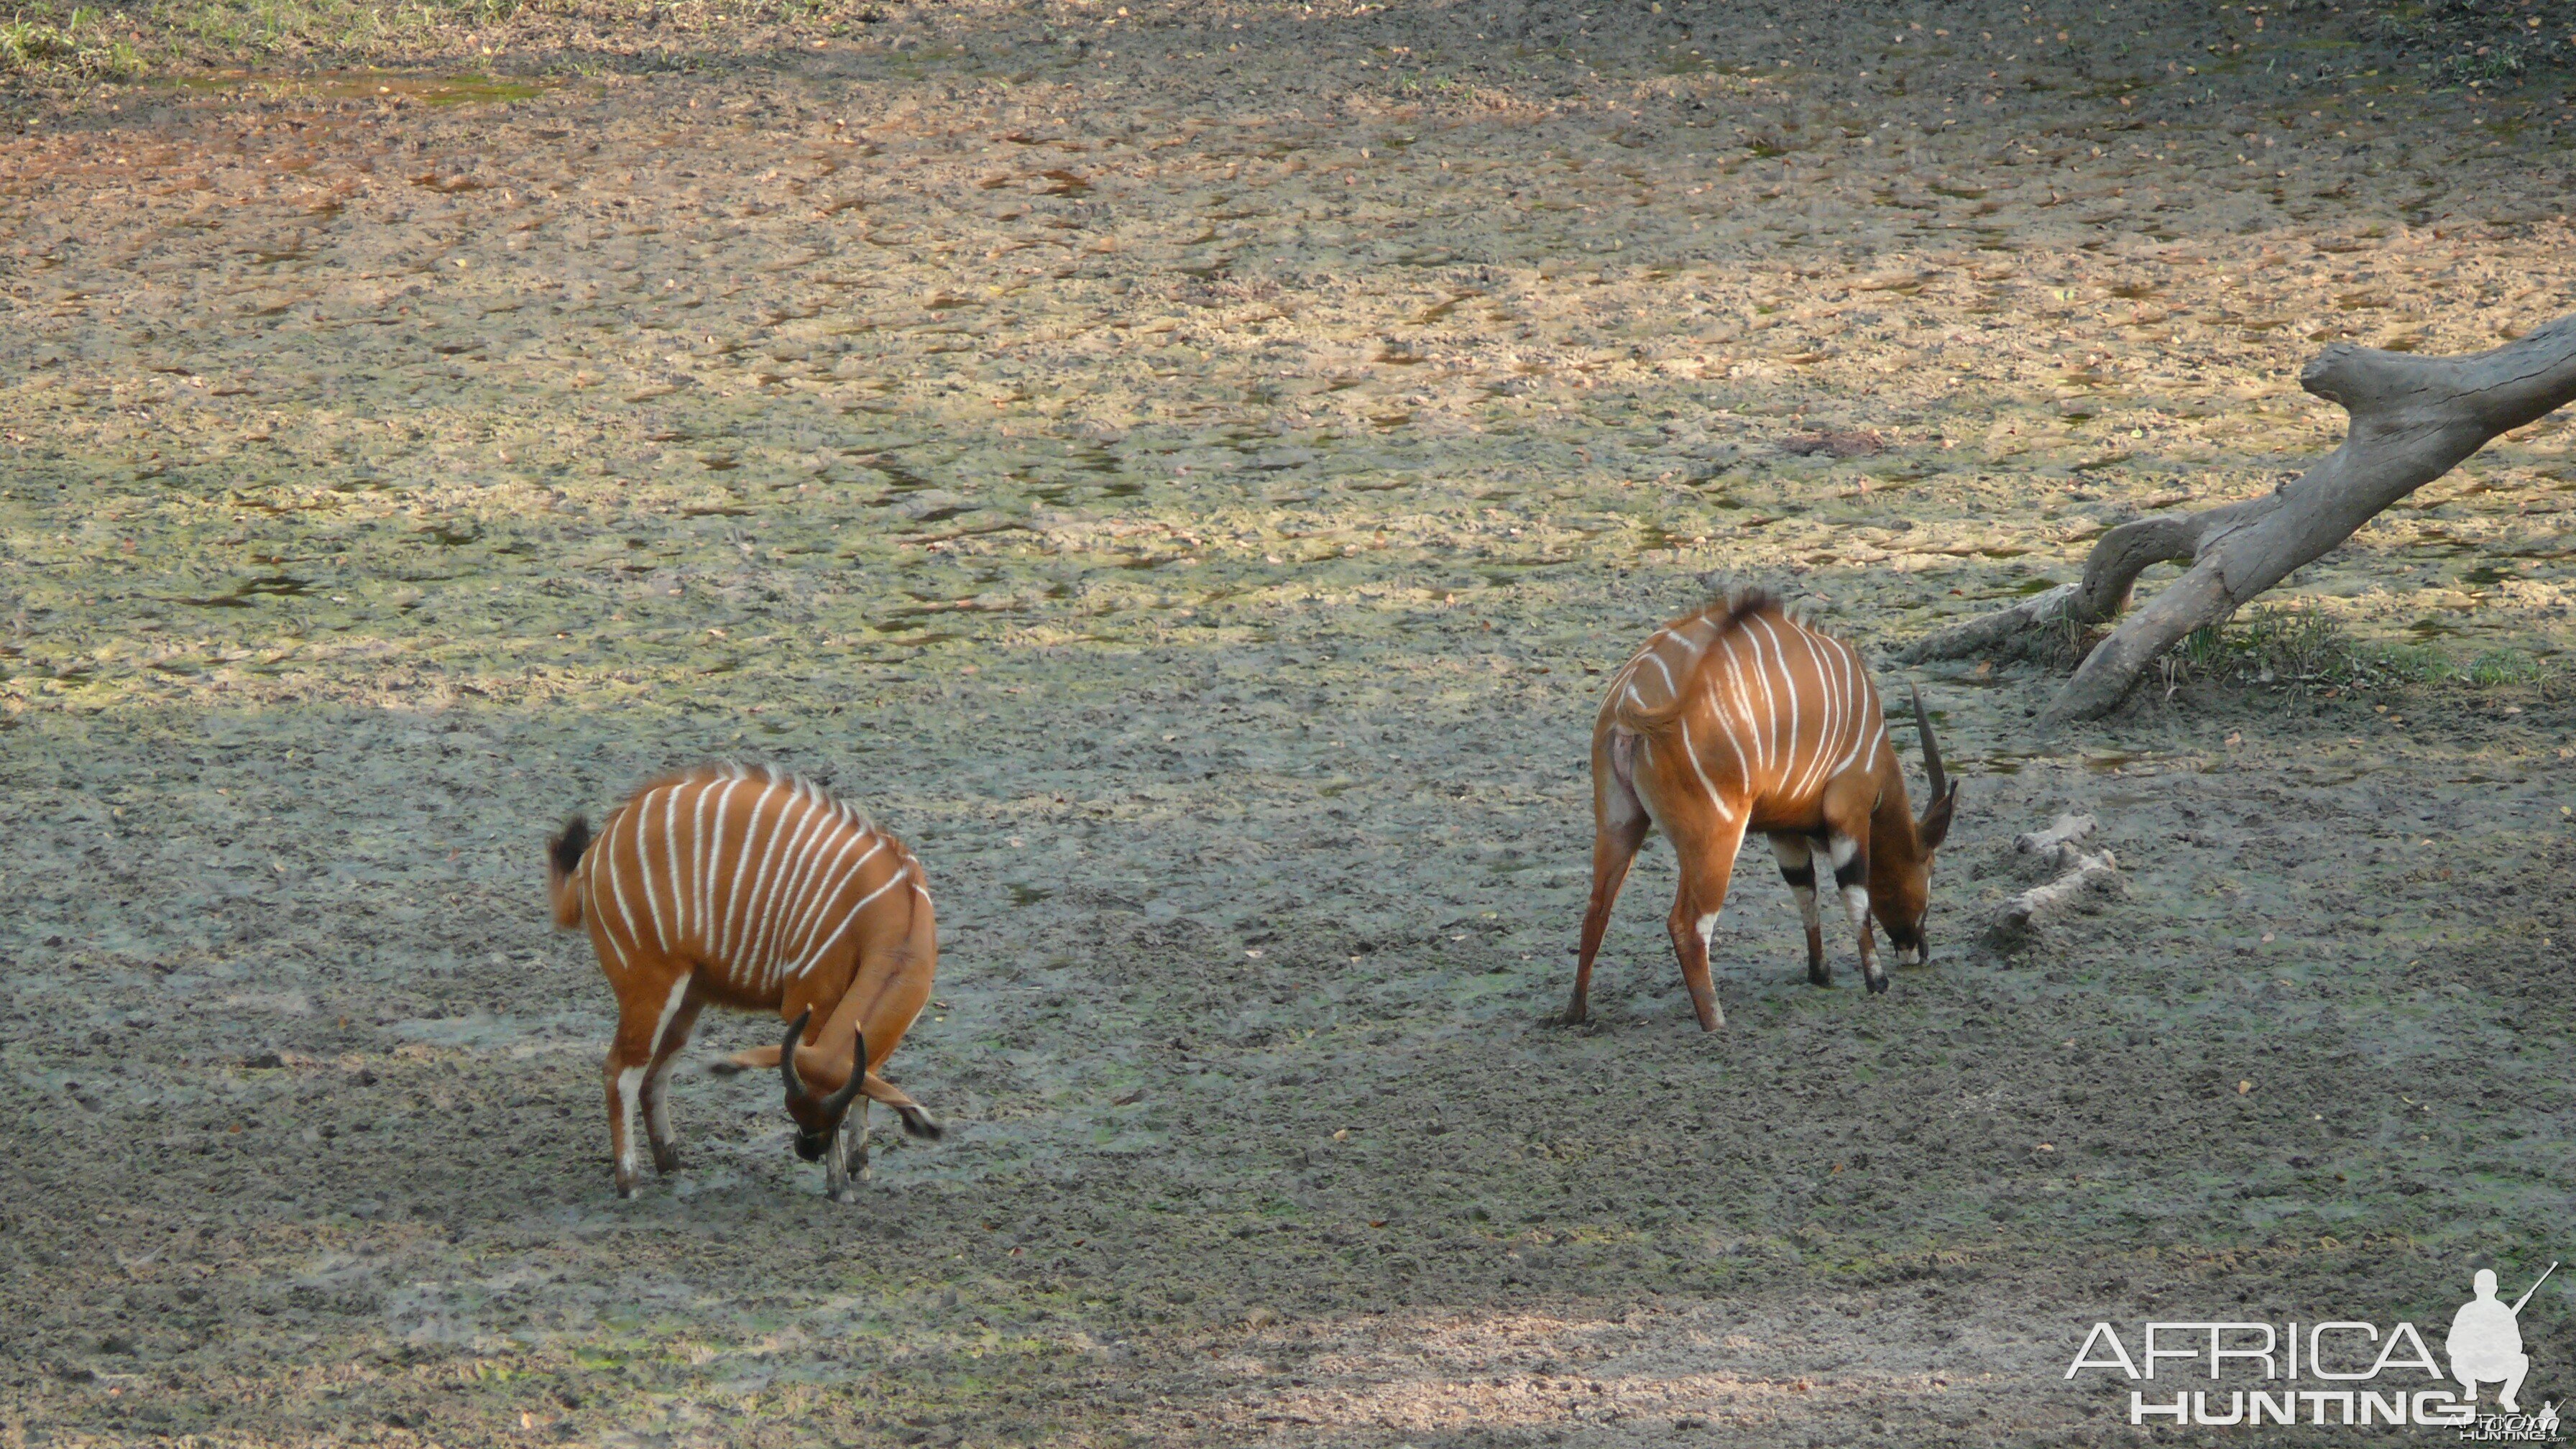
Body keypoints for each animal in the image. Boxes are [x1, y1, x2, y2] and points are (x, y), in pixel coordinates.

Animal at [548, 763, 942, 1201]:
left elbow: (866, 1086)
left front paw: (861, 1168)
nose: (806, 1149)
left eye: (831, 1115)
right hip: (649, 989)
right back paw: (630, 1184)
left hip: (688, 997)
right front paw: (840, 1186)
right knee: (620, 1073)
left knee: (656, 1075)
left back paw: (672, 1165)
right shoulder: (811, 1006)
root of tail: (593, 854)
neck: (895, 920)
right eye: (793, 1108)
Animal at [1555, 595, 1957, 1026]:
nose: (1919, 950)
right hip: (1715, 838)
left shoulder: (1782, 829)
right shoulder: (1849, 810)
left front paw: (1820, 973)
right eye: (1930, 867)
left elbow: (1805, 891)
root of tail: (1629, 697)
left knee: (1596, 909)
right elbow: (1854, 893)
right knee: (1688, 926)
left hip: (1620, 825)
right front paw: (1877, 981)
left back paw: (1574, 1014)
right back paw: (1717, 1024)